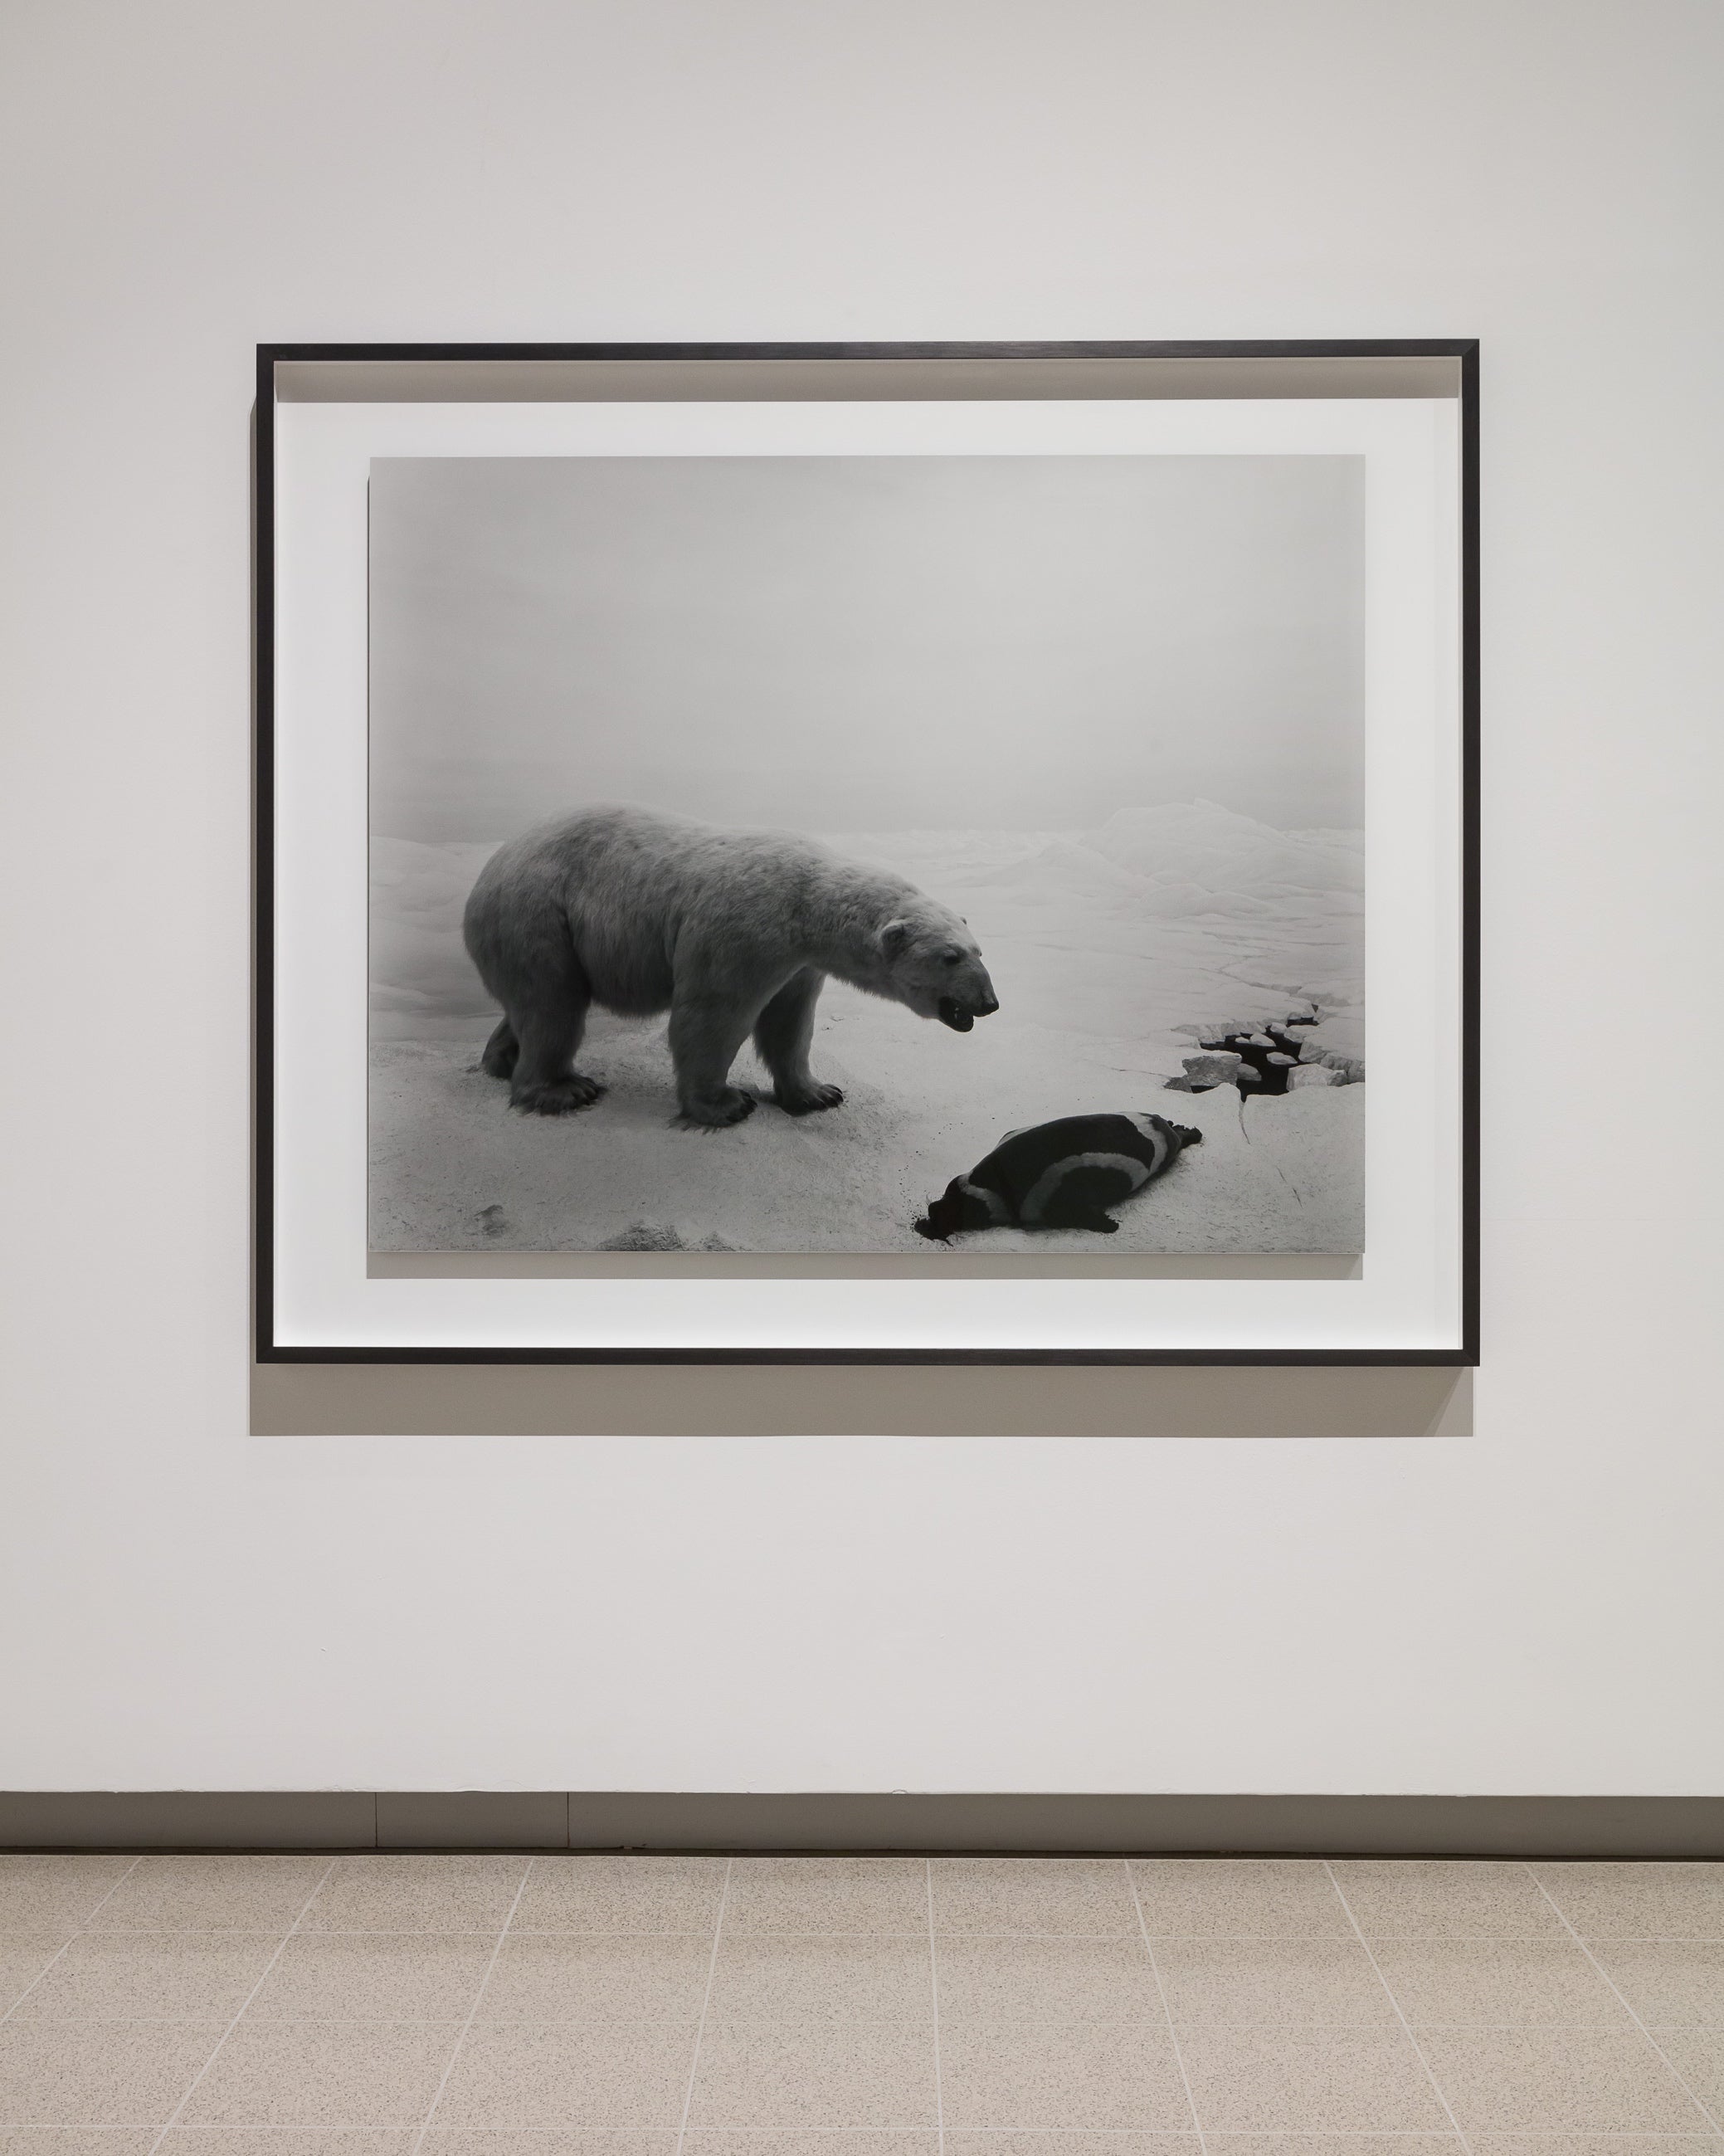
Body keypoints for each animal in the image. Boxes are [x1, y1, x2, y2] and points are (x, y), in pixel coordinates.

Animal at [460, 802, 996, 1129]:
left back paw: (501, 1060)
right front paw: (724, 1105)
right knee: (553, 1003)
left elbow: (790, 1022)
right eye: (950, 956)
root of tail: (491, 866)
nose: (989, 1003)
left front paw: (818, 1093)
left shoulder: (800, 963)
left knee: (534, 1004)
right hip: (538, 915)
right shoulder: (744, 930)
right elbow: (713, 1015)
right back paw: (563, 1089)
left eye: (979, 950)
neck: (807, 903)